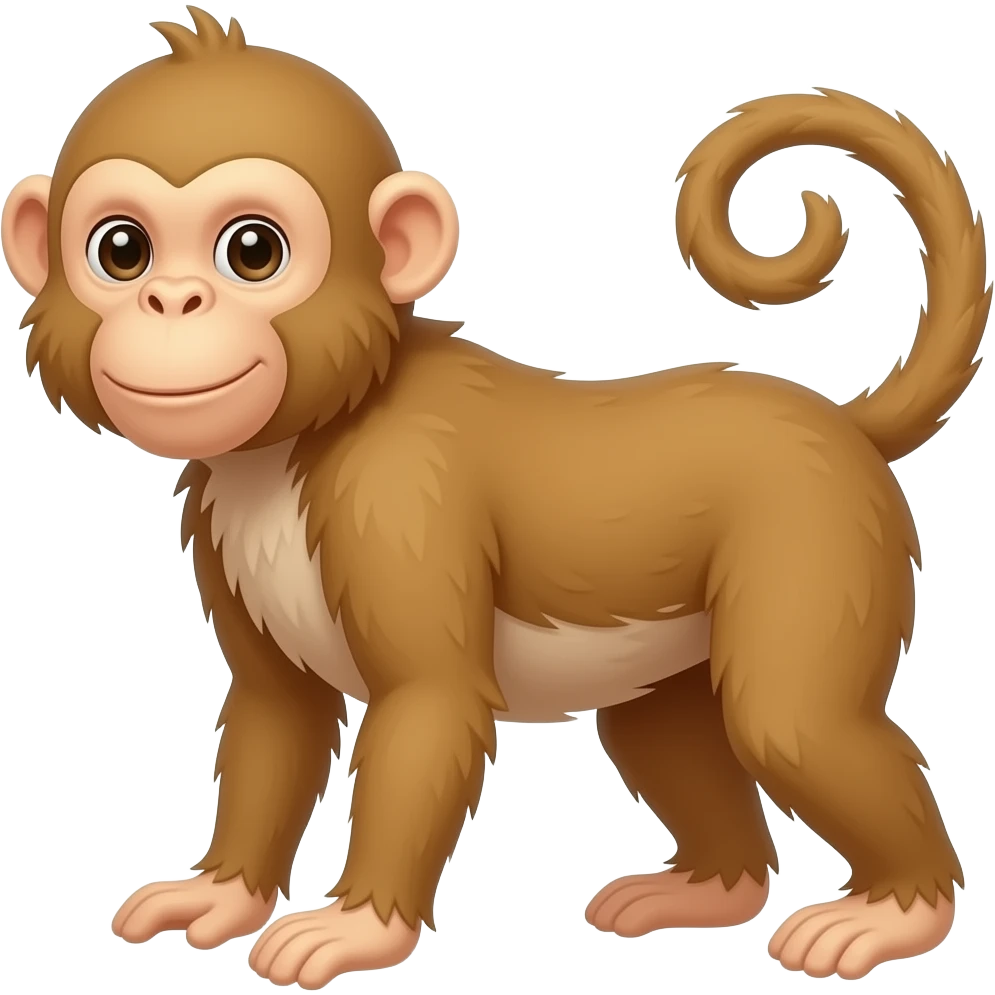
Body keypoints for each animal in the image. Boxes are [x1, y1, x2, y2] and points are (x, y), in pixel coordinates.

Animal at [2, 8, 988, 988]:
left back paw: (897, 908)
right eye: (121, 250)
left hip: (817, 531)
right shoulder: (219, 518)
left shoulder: (397, 495)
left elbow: (428, 703)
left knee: (790, 720)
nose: (173, 300)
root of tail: (840, 423)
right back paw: (711, 887)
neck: (302, 438)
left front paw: (358, 926)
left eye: (252, 250)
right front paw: (222, 893)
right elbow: (276, 713)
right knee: (657, 728)